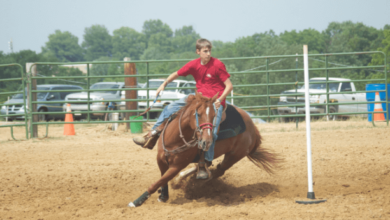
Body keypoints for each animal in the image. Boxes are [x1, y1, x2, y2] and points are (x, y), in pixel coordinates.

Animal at [129, 92, 280, 207]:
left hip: (234, 156)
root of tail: (253, 128)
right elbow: (162, 179)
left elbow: (158, 182)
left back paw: (196, 184)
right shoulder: (161, 159)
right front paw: (163, 195)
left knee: (218, 171)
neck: (175, 139)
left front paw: (137, 202)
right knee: (207, 165)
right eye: (199, 114)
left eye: (214, 117)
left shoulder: (177, 166)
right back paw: (182, 179)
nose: (206, 140)